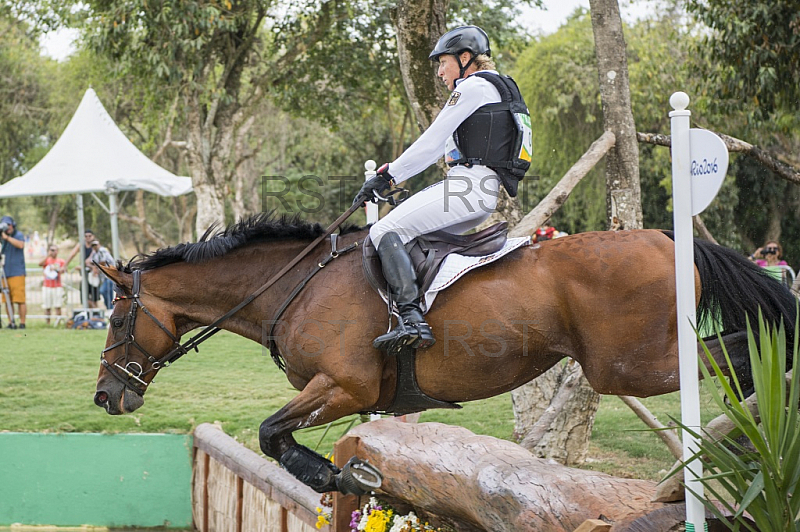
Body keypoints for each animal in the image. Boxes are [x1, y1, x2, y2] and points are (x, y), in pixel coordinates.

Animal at [92, 212, 792, 494]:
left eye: (118, 317)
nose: (105, 396)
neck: (294, 283)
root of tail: (665, 238)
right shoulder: (352, 396)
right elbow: (280, 436)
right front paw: (346, 474)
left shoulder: (343, 387)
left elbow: (271, 433)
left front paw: (337, 476)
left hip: (630, 365)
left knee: (740, 352)